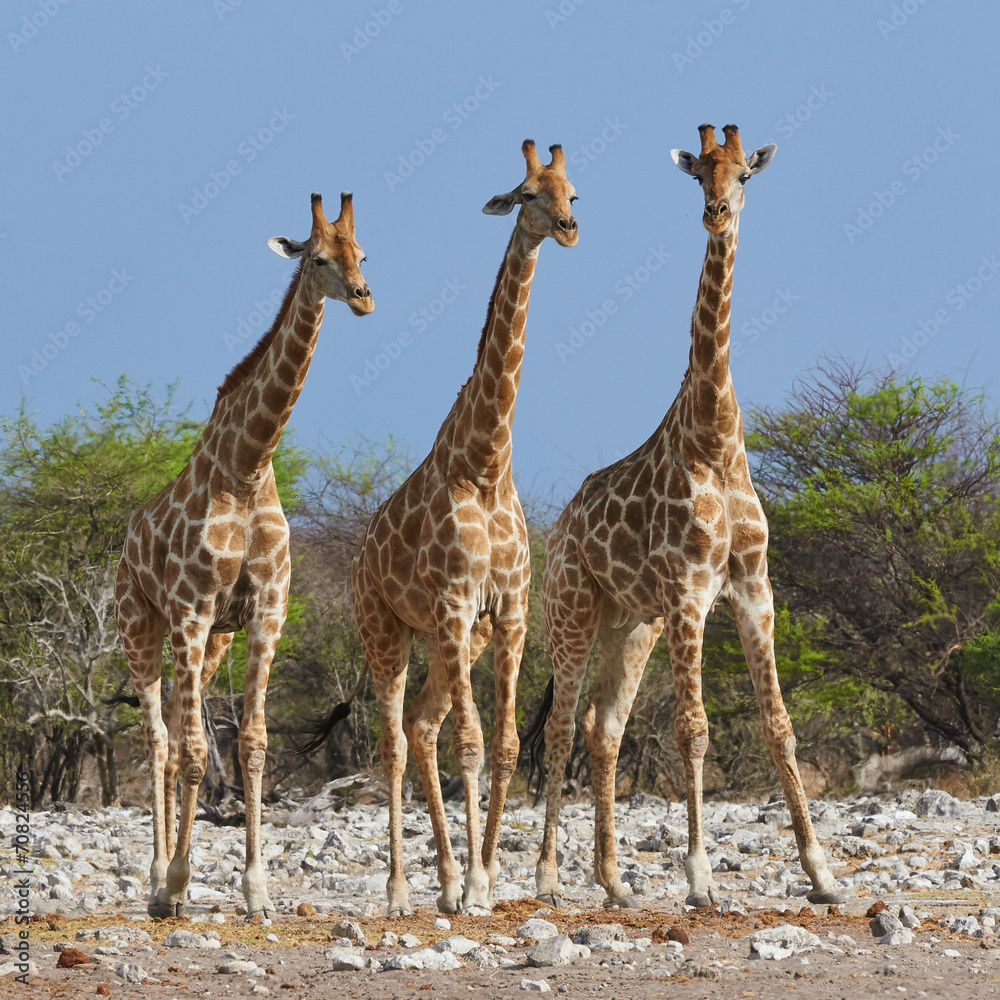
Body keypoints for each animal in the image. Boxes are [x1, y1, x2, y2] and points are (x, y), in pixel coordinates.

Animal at [114, 192, 372, 919]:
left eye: (361, 253)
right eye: (318, 259)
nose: (364, 297)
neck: (249, 465)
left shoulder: (264, 611)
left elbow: (251, 744)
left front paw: (256, 890)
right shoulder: (193, 609)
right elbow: (197, 751)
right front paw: (176, 883)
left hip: (210, 642)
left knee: (179, 738)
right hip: (143, 626)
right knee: (160, 740)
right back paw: (156, 881)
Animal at [318, 140, 577, 917]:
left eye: (572, 192)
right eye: (526, 193)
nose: (566, 228)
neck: (486, 462)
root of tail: (359, 557)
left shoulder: (510, 611)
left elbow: (503, 743)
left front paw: (485, 874)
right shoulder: (459, 605)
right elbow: (470, 741)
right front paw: (478, 883)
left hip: (443, 639)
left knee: (421, 725)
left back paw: (447, 878)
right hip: (386, 629)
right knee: (396, 739)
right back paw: (405, 888)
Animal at [528, 123, 845, 910]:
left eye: (745, 176)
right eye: (700, 173)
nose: (716, 213)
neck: (716, 438)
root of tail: (560, 528)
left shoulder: (753, 588)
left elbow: (780, 727)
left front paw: (822, 872)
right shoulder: (689, 592)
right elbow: (693, 729)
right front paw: (700, 875)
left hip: (630, 624)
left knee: (603, 728)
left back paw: (613, 881)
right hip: (572, 610)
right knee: (558, 728)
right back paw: (547, 876)